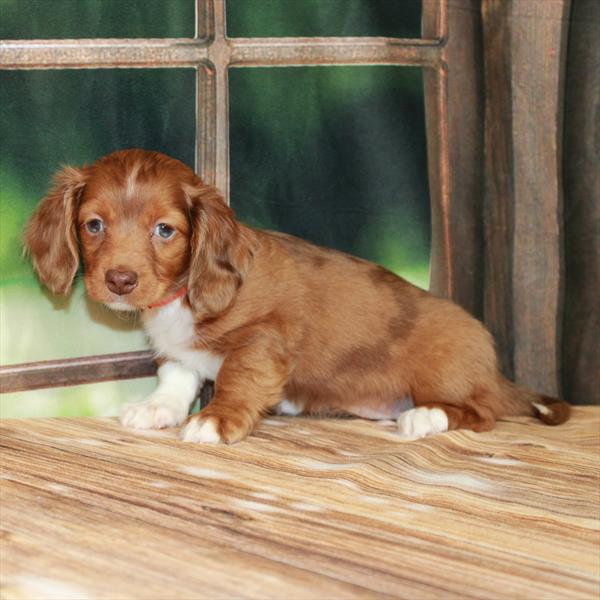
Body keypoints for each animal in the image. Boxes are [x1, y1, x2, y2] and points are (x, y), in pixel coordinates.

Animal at [23, 148, 568, 442]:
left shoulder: (264, 339)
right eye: (94, 224)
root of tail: (495, 372)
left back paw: (426, 416)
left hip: (441, 369)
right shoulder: (180, 353)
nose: (120, 280)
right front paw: (158, 409)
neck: (183, 297)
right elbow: (177, 376)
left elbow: (237, 377)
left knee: (482, 413)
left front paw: (215, 419)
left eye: (165, 230)